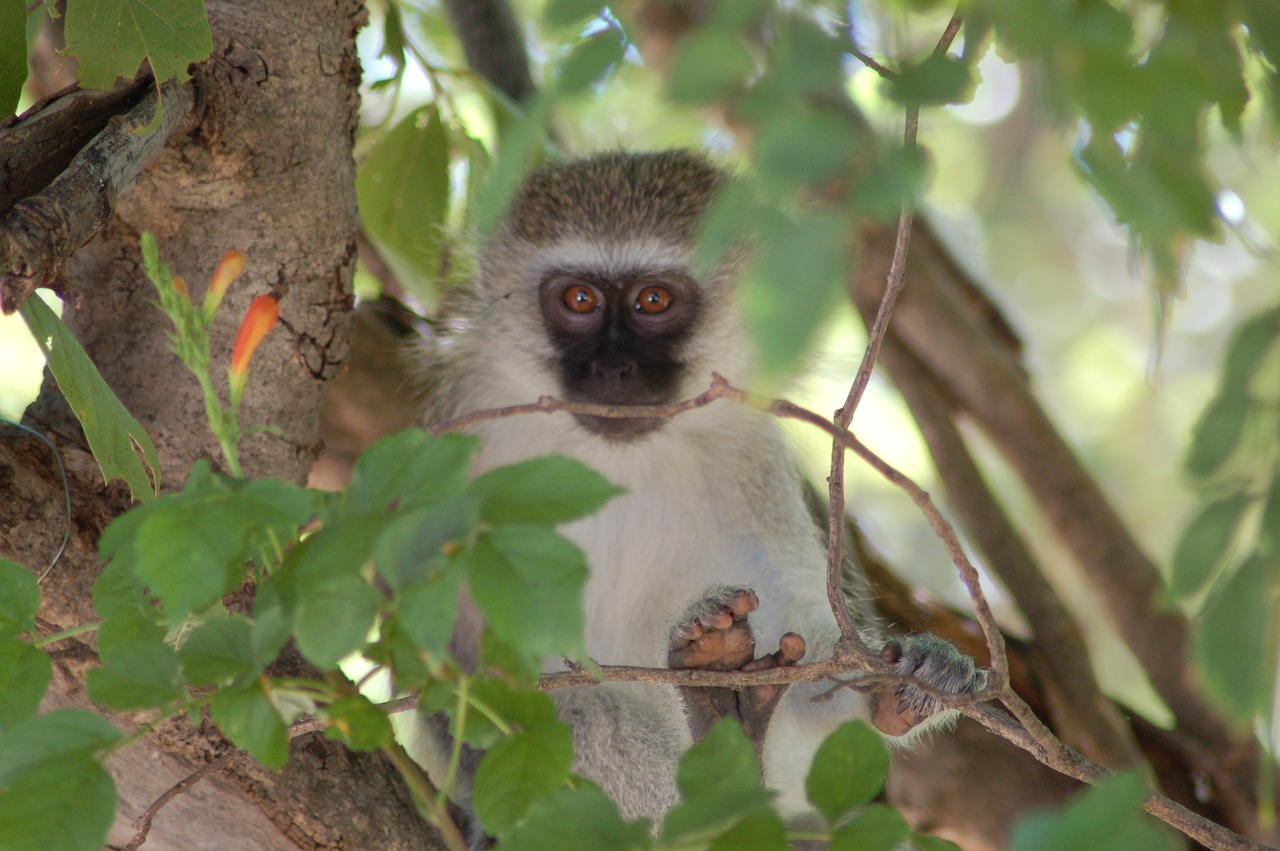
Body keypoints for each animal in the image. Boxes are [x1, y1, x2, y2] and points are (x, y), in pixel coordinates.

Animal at [414, 151, 983, 824]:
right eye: (579, 299)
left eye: (653, 300)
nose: (615, 369)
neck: (617, 459)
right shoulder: (456, 442)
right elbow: (439, 660)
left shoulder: (752, 463)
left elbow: (799, 629)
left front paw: (896, 688)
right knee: (579, 716)